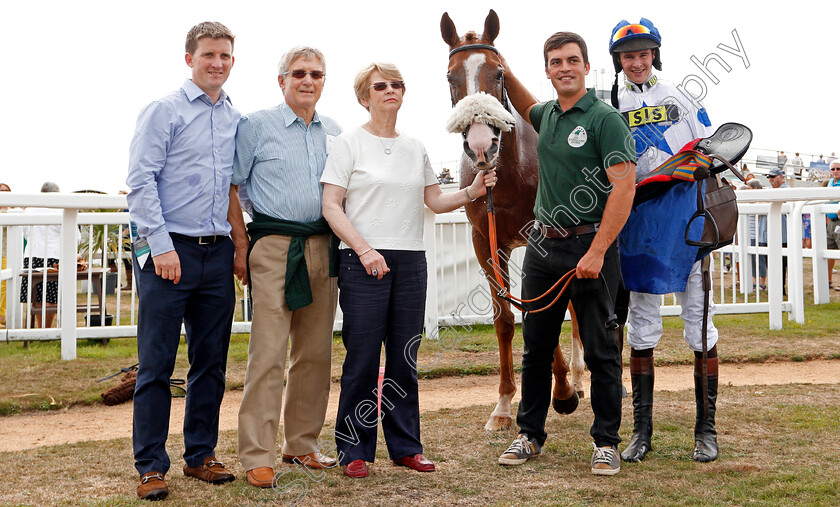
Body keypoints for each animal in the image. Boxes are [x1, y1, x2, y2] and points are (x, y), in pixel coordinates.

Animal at [440, 9, 584, 430]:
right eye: (451, 77)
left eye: (499, 73)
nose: (481, 144)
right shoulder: (485, 242)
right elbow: (505, 319)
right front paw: (503, 405)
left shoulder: (541, 241)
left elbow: (541, 311)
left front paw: (563, 390)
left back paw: (580, 376)